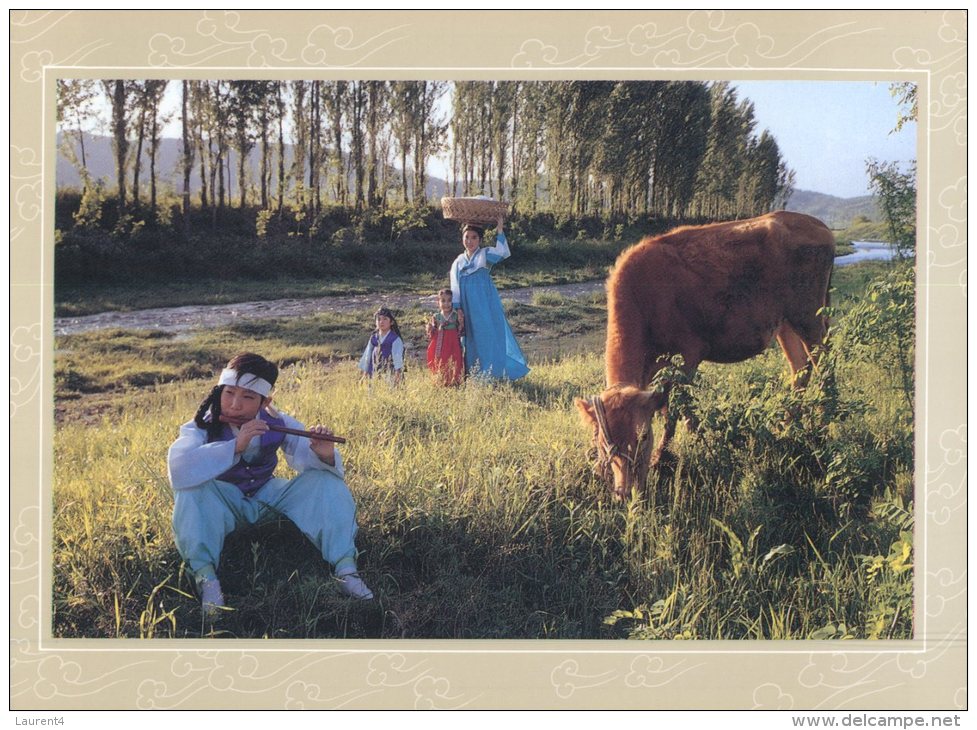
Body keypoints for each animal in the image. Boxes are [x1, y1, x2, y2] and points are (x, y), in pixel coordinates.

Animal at [576, 208, 836, 498]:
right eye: (602, 442)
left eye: (643, 436)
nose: (626, 491)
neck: (646, 296)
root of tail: (815, 223)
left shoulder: (688, 355)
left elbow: (676, 409)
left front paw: (665, 457)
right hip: (785, 324)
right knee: (800, 367)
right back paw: (788, 424)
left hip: (809, 316)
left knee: (824, 363)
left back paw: (827, 420)